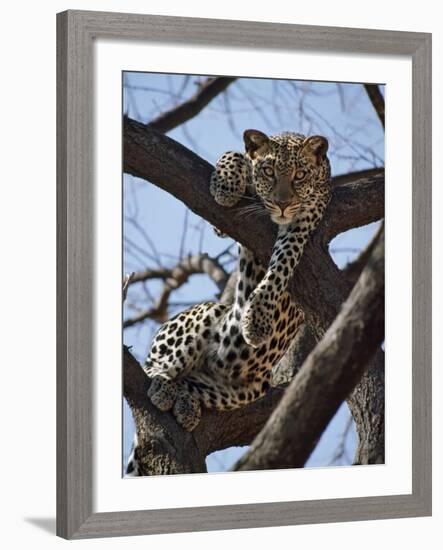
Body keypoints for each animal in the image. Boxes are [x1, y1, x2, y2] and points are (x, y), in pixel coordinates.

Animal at [125, 130, 330, 478]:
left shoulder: (306, 217)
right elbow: (233, 154)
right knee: (154, 366)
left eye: (300, 175)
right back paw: (163, 385)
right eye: (269, 172)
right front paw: (225, 185)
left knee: (192, 383)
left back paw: (184, 402)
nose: (283, 203)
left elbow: (282, 263)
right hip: (207, 313)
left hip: (245, 388)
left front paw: (257, 319)